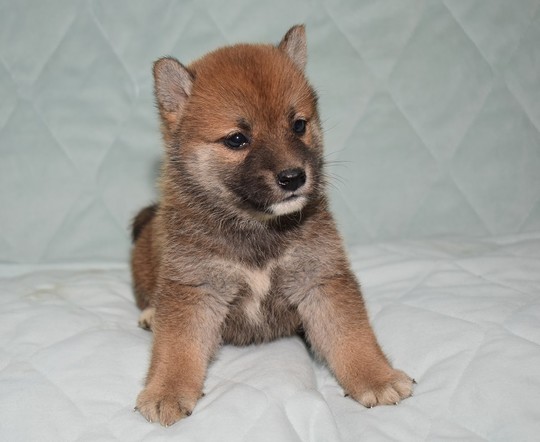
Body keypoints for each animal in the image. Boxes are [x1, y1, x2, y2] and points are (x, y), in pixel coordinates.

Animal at [131, 25, 414, 426]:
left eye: (298, 125)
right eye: (237, 139)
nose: (294, 177)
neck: (257, 227)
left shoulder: (320, 279)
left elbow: (350, 335)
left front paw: (377, 377)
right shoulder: (195, 289)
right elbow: (177, 348)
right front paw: (166, 391)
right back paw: (150, 313)